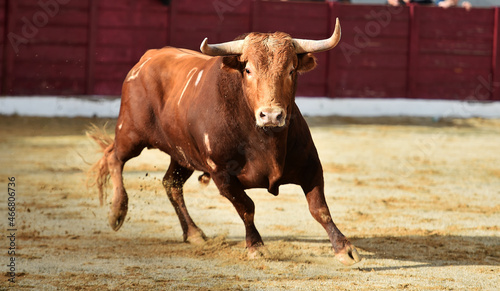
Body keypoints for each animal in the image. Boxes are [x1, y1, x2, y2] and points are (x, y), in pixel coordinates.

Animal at [90, 18, 362, 266]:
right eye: (249, 70)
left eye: (291, 70)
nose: (271, 115)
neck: (265, 141)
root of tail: (148, 58)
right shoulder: (222, 175)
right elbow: (246, 207)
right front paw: (256, 246)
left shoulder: (311, 168)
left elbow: (320, 209)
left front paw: (344, 248)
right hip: (130, 133)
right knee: (115, 158)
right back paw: (117, 212)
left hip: (182, 154)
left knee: (171, 183)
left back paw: (194, 233)